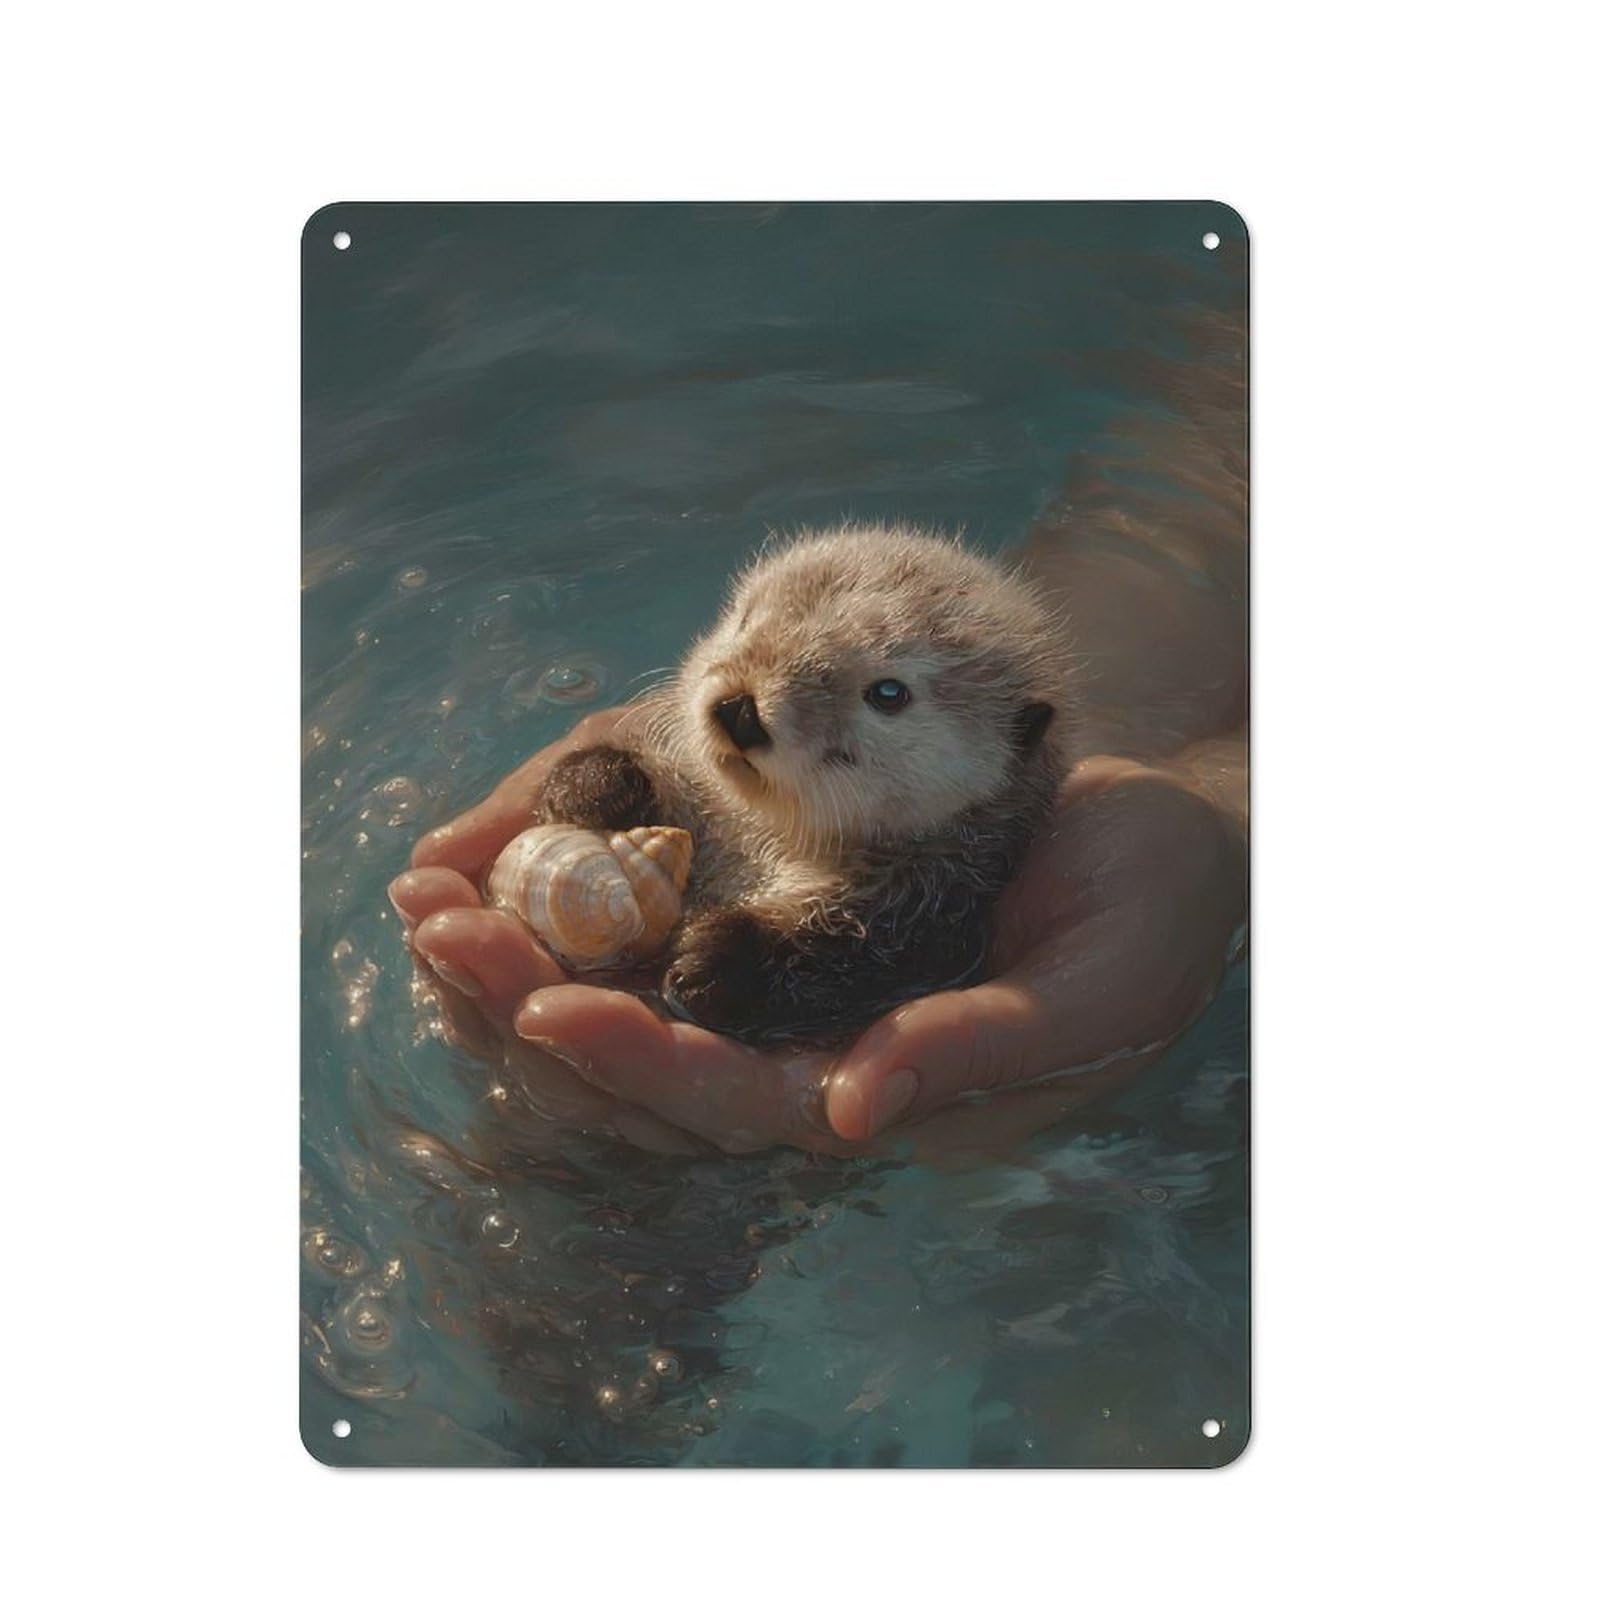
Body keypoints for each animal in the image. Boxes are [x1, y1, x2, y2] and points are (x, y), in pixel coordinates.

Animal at [534, 523, 1074, 1044]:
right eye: (747, 619)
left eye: (889, 693)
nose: (740, 710)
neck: (765, 837)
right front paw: (593, 786)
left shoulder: (934, 909)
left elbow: (846, 958)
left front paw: (712, 960)